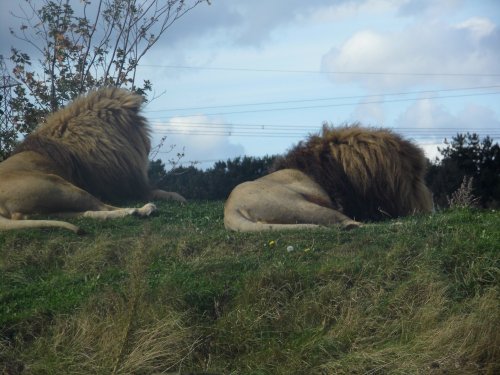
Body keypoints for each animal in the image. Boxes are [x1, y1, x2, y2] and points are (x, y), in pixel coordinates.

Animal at [0, 88, 186, 235]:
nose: (147, 146)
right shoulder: (125, 188)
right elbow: (161, 192)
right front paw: (179, 198)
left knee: (89, 212)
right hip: (59, 185)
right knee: (104, 206)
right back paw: (142, 210)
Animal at [224, 125, 434, 232]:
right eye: (416, 180)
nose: (426, 207)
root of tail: (231, 211)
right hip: (301, 206)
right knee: (350, 224)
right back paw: (403, 224)